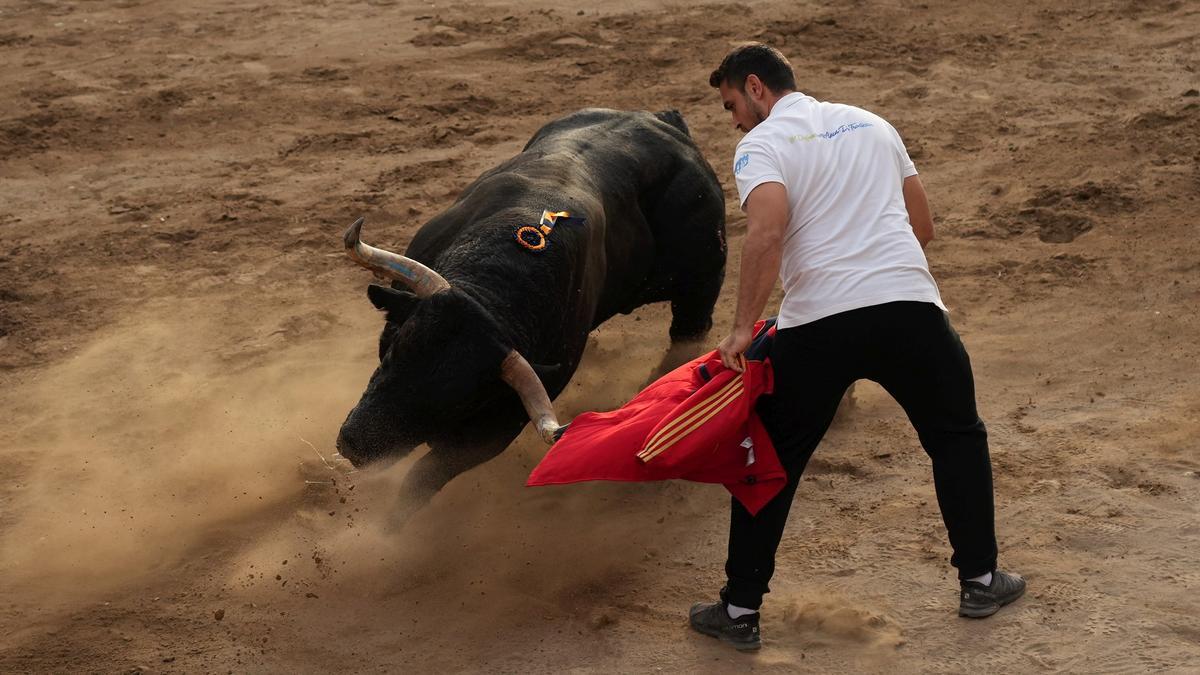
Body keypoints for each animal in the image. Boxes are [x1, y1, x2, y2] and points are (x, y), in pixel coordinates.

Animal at [340, 106, 729, 509]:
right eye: (396, 349)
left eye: (458, 400)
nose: (355, 445)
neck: (499, 277)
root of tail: (667, 124)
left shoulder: (499, 426)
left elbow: (423, 478)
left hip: (702, 282)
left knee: (688, 335)